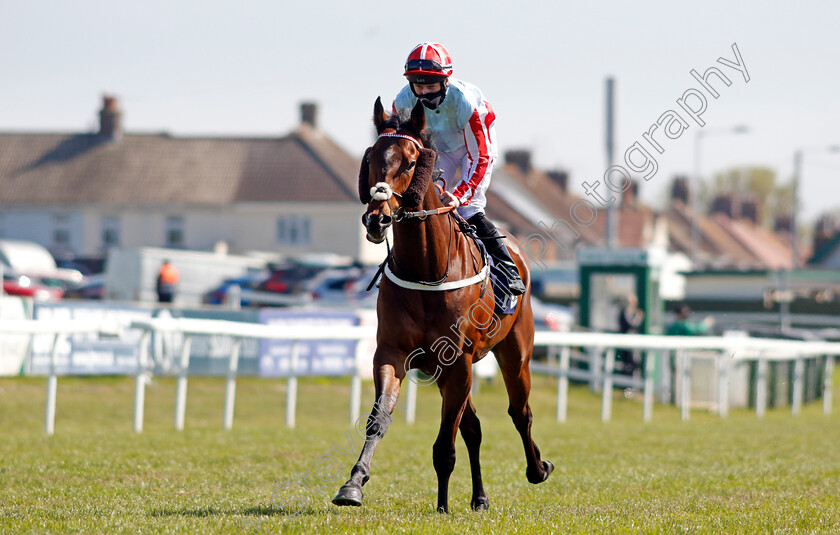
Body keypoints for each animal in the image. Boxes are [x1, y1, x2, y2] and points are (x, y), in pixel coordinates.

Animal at [332, 97, 556, 516]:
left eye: (409, 161)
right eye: (371, 158)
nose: (376, 219)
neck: (427, 272)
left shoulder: (459, 363)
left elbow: (444, 445)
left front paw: (441, 507)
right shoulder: (393, 353)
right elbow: (378, 419)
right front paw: (353, 484)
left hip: (515, 353)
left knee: (520, 412)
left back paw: (537, 469)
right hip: (441, 370)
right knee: (474, 427)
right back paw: (479, 497)